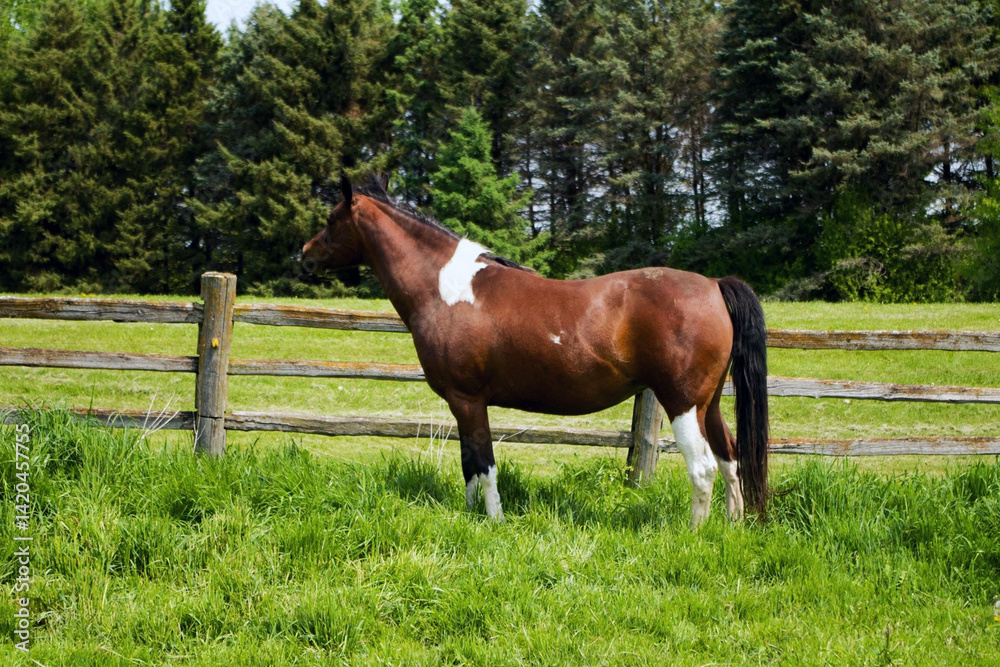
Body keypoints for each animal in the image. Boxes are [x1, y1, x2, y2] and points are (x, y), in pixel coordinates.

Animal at [301, 175, 770, 527]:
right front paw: (470, 517)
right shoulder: (460, 404)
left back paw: (693, 533)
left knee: (703, 467)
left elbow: (484, 464)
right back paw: (732, 525)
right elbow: (468, 464)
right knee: (729, 459)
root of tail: (714, 285)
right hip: (708, 404)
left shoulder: (468, 400)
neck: (444, 289)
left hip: (681, 403)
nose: (303, 255)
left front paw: (494, 521)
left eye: (331, 219)